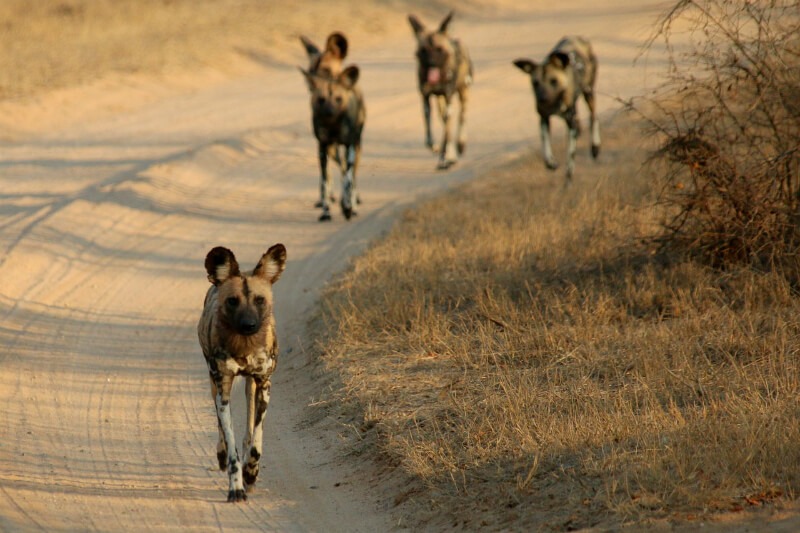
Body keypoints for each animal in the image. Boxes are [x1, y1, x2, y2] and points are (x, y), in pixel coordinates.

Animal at [197, 243, 288, 500]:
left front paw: (251, 473)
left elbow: (256, 441)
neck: (244, 347)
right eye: (232, 301)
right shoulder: (223, 390)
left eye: (259, 300)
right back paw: (221, 455)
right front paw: (236, 487)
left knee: (249, 428)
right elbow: (231, 448)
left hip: (252, 386)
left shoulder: (264, 384)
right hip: (214, 385)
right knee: (221, 430)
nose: (249, 325)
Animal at [300, 63, 366, 221]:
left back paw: (352, 206)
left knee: (351, 175)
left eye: (338, 99)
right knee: (340, 168)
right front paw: (326, 212)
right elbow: (324, 183)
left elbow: (348, 180)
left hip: (356, 147)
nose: (329, 112)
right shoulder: (323, 148)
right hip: (333, 151)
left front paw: (348, 207)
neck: (333, 125)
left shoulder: (349, 146)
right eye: (321, 99)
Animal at [410, 10, 472, 169]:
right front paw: (437, 149)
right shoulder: (426, 99)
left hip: (463, 93)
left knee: (461, 116)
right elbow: (429, 136)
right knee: (444, 120)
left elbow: (448, 131)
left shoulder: (449, 96)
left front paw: (449, 156)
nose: (431, 63)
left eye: (439, 49)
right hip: (440, 101)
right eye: (423, 51)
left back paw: (460, 145)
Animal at [512, 36, 600, 181]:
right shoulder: (544, 119)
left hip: (588, 92)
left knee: (593, 116)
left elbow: (570, 160)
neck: (554, 104)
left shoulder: (570, 125)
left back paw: (595, 147)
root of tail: (577, 37)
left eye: (553, 81)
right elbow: (546, 147)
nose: (542, 99)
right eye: (535, 83)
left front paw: (568, 180)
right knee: (579, 119)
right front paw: (551, 163)